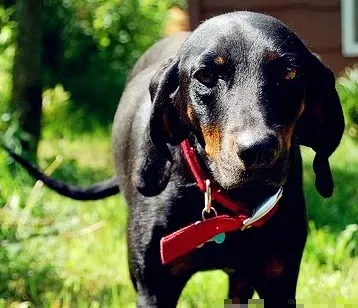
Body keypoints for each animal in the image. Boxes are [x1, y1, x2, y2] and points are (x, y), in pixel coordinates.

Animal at [7, 12, 346, 308]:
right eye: (206, 75)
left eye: (289, 73)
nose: (258, 150)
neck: (229, 207)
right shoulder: (154, 289)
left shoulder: (279, 282)